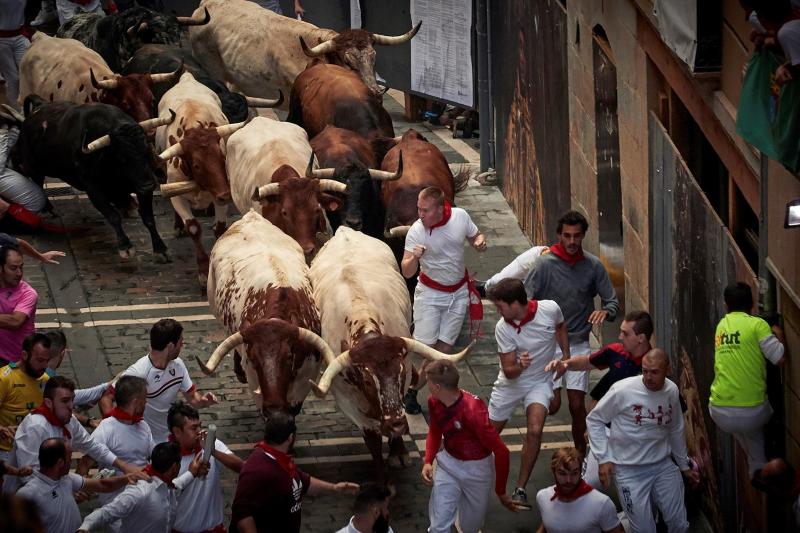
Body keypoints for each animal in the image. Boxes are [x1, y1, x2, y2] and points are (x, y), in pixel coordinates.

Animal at [308, 227, 472, 476]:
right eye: (367, 380)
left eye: (400, 373)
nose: (396, 424)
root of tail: (344, 230)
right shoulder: (347, 399)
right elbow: (373, 441)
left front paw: (398, 452)